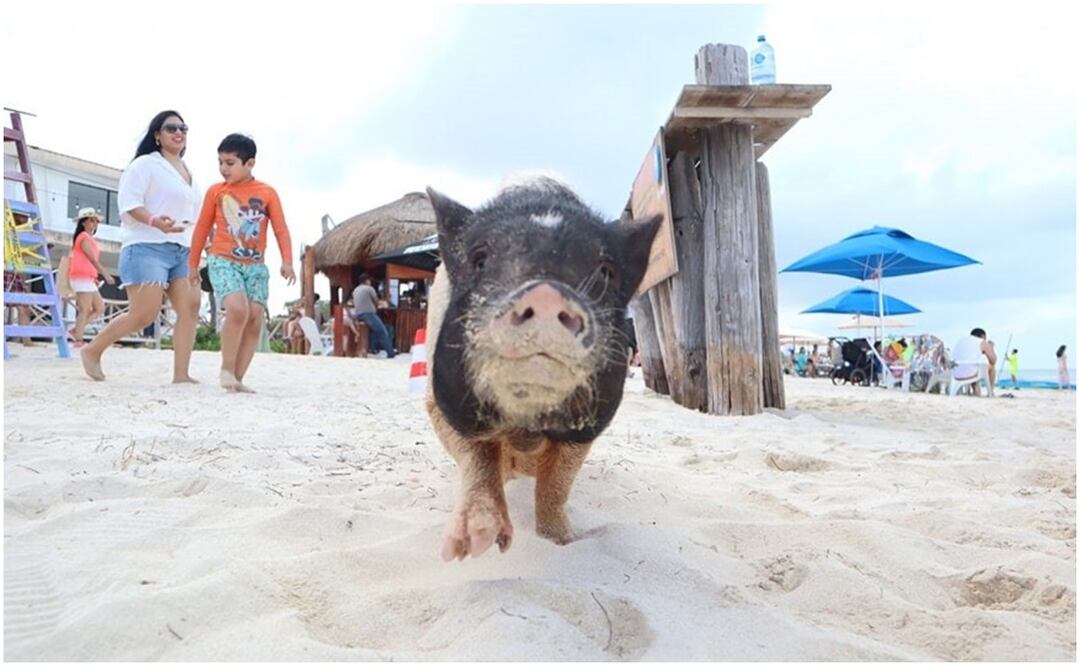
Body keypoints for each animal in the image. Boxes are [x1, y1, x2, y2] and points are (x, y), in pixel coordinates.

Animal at [424, 177, 661, 561]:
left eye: (606, 272)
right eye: (479, 258)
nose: (546, 294)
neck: (526, 426)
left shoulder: (587, 426)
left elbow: (556, 486)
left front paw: (561, 542)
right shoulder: (439, 400)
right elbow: (477, 457)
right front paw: (471, 544)